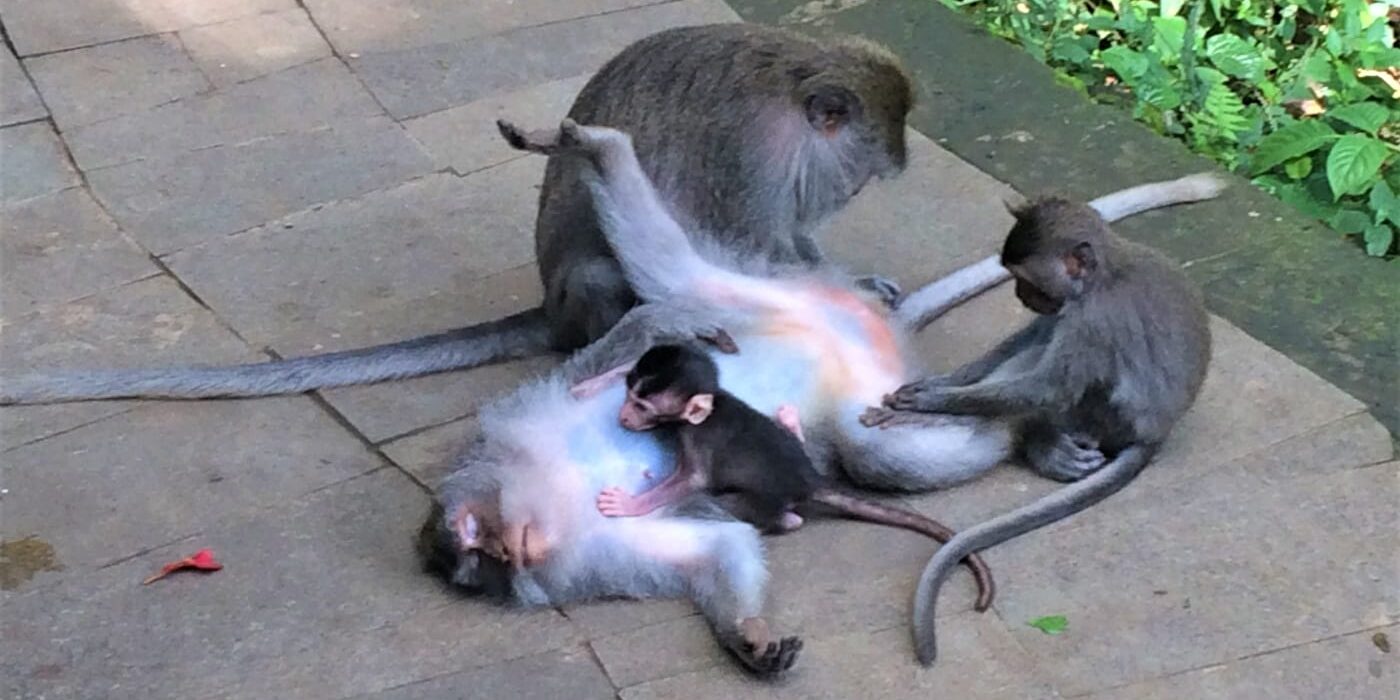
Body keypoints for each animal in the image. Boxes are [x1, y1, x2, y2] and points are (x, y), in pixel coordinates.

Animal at [1, 23, 916, 405]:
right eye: (862, 177)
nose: (852, 196)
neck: (791, 86)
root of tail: (550, 309)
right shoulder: (749, 153)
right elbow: (747, 244)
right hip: (583, 297)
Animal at [578, 343, 995, 611]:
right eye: (629, 395)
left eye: (642, 405)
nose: (623, 416)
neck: (712, 404)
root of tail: (810, 480)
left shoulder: (699, 440)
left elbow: (693, 481)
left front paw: (629, 504)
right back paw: (790, 425)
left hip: (761, 498)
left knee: (737, 505)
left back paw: (785, 520)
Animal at [861, 196, 1214, 667]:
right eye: (1013, 278)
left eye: (1025, 279)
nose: (1018, 294)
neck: (1106, 272)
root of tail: (1157, 433)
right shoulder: (1069, 308)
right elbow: (1032, 336)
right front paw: (942, 384)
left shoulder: (1091, 321)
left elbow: (1047, 389)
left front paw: (931, 403)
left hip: (1103, 416)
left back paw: (1041, 443)